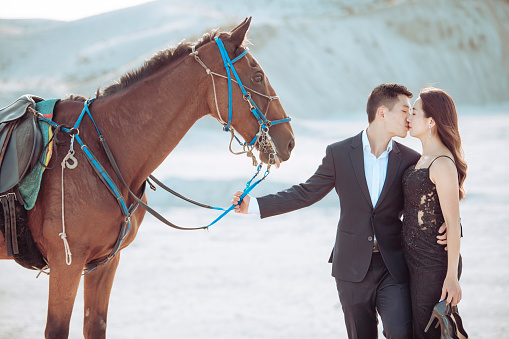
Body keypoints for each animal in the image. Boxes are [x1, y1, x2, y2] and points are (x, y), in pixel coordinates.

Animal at [0, 19, 294, 339]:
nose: (289, 141)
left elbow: (95, 325)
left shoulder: (103, 263)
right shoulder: (67, 262)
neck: (103, 147)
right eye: (257, 76)